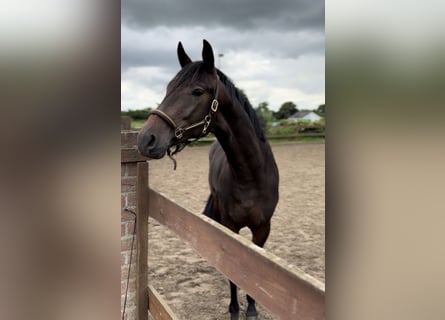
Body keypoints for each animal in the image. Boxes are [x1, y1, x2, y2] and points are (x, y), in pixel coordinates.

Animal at [137, 40, 280, 320]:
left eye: (197, 91)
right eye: (168, 88)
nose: (146, 138)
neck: (251, 176)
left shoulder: (262, 228)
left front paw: (252, 309)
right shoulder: (230, 227)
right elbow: (234, 275)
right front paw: (234, 310)